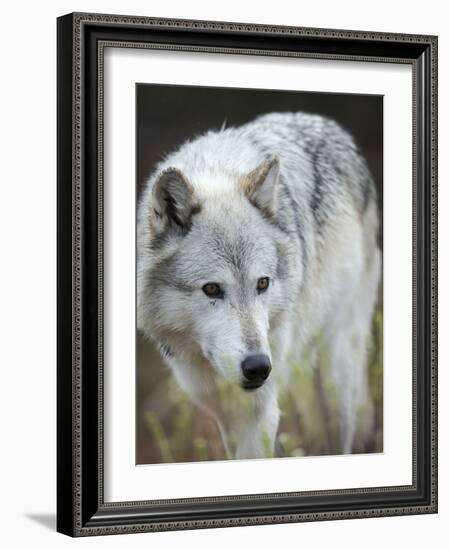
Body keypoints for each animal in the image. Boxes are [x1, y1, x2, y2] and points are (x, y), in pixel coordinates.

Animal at [136, 111, 378, 462]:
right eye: (212, 289)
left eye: (262, 283)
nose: (259, 368)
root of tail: (329, 124)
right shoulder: (223, 413)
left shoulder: (259, 412)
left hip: (337, 374)